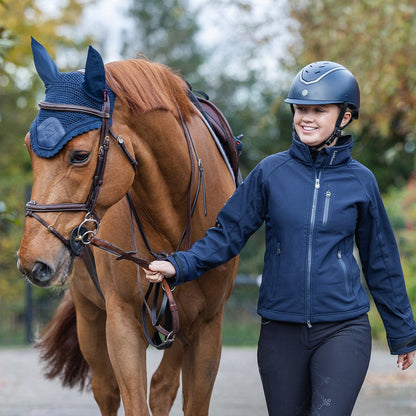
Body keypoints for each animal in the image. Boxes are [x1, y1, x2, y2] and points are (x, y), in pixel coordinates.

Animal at [17, 39, 239, 416]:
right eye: (30, 147)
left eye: (79, 155)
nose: (32, 260)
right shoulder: (121, 324)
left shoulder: (207, 329)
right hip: (91, 316)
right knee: (107, 390)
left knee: (162, 389)